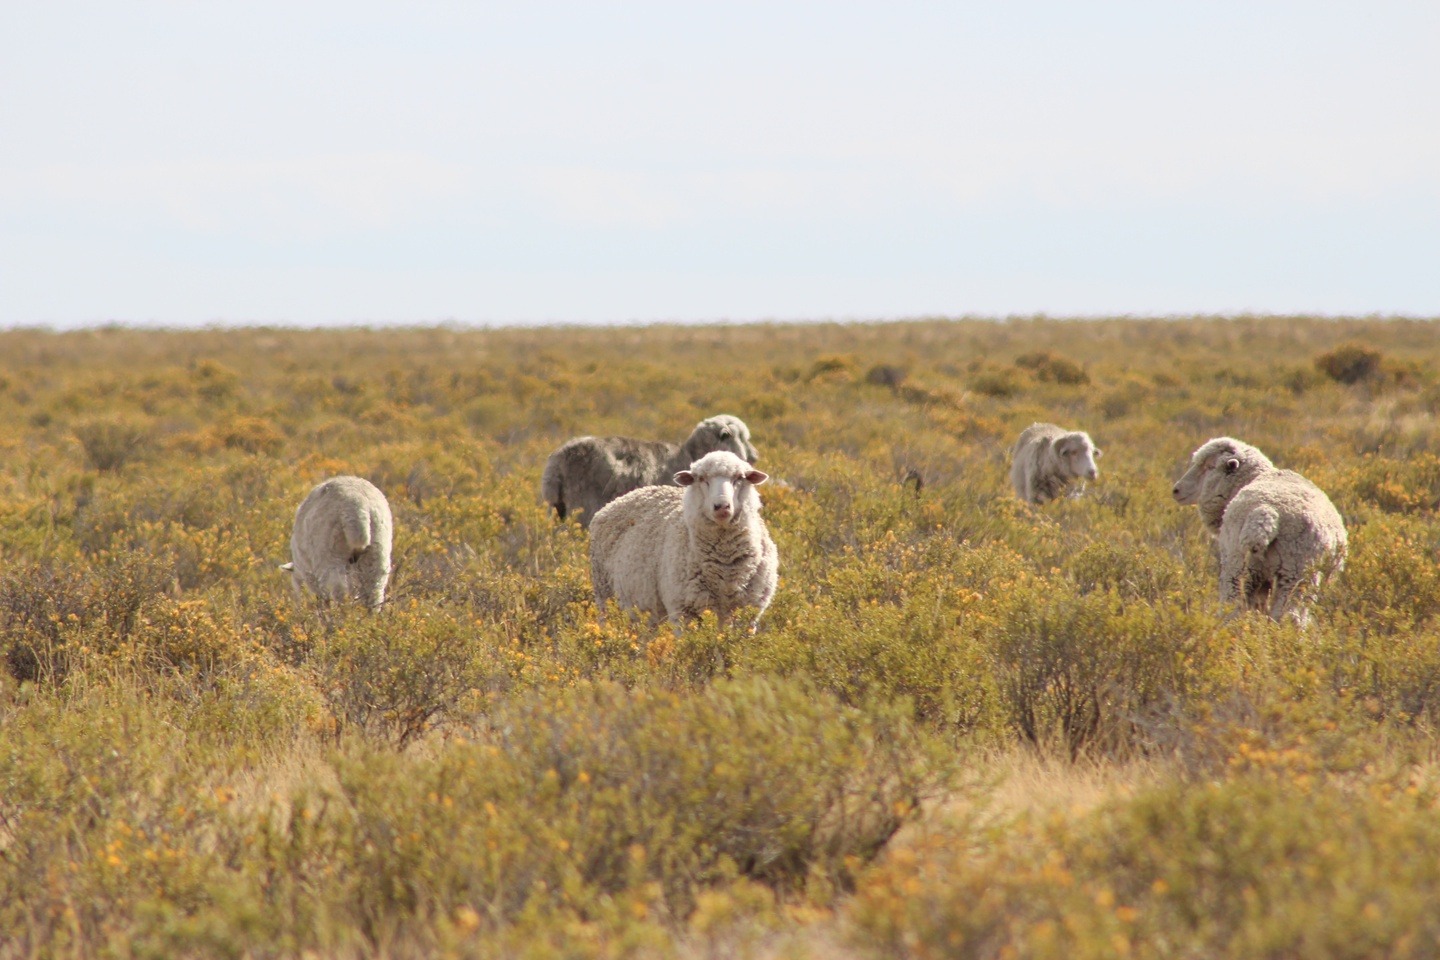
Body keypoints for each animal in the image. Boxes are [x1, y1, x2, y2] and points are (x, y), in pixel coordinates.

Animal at [279, 477, 394, 613]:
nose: (297, 604)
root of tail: (358, 507)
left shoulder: (309, 572)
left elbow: (321, 596)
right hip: (378, 545)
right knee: (374, 590)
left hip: (329, 549)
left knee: (339, 589)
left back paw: (339, 615)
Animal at [541, 414, 766, 529]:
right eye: (742, 437)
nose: (754, 456)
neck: (690, 454)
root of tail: (557, 462)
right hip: (582, 506)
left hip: (558, 508)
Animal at [590, 454, 783, 633]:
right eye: (702, 479)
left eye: (739, 478)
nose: (721, 506)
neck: (724, 568)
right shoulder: (683, 610)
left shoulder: (749, 612)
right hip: (604, 595)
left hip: (648, 609)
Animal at [1169, 437, 1347, 624]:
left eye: (1210, 466)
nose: (1176, 490)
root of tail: (1265, 511)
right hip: (1294, 571)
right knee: (1287, 614)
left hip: (1244, 563)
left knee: (1236, 606)